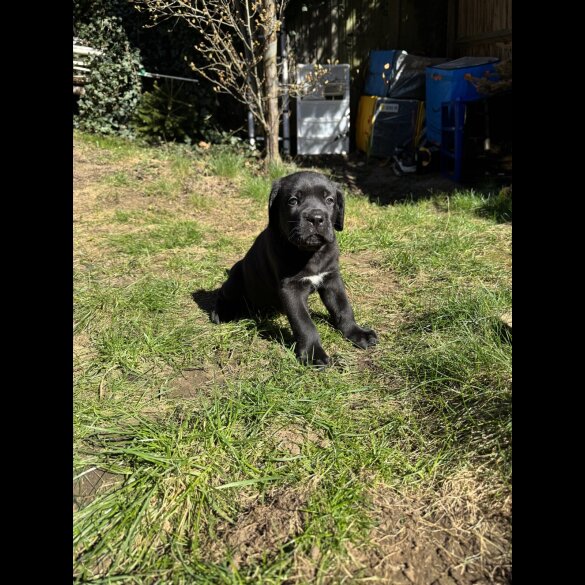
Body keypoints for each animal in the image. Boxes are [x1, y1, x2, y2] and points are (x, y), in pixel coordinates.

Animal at [212, 168, 376, 364]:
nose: (316, 218)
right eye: (293, 201)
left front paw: (357, 333)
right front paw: (313, 353)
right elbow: (304, 323)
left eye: (330, 200)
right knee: (223, 294)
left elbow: (343, 307)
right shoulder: (290, 289)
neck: (310, 253)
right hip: (236, 277)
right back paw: (219, 313)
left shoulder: (332, 278)